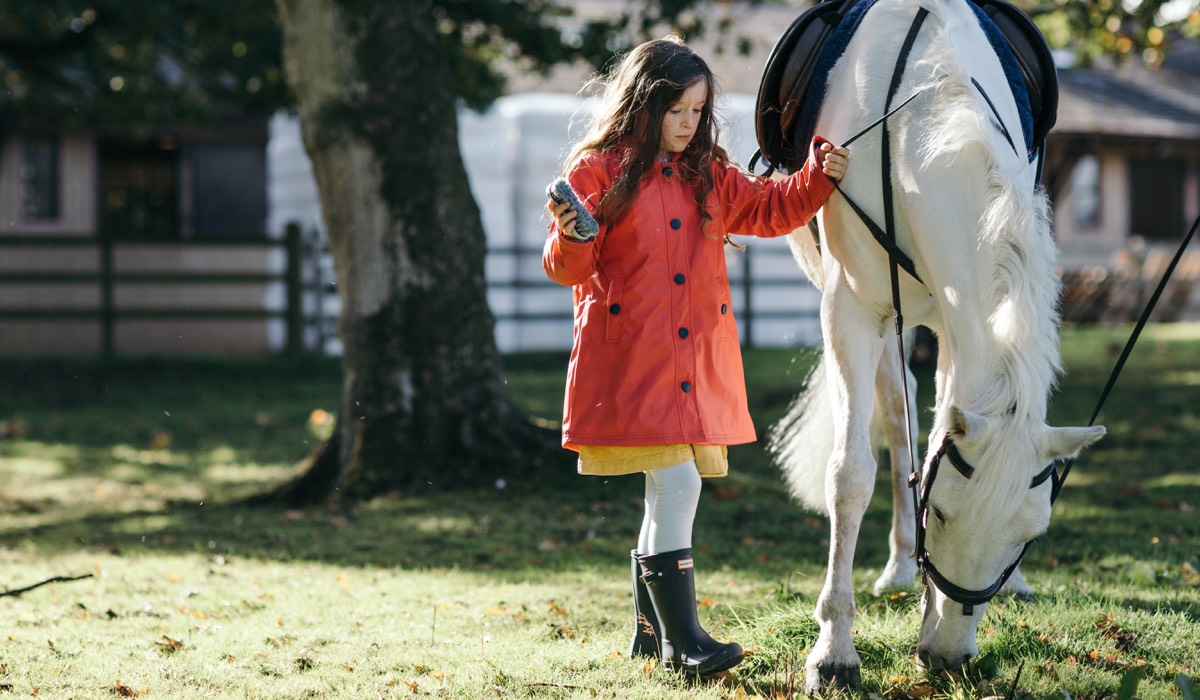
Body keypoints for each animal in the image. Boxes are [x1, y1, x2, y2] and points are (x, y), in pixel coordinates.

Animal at [764, 0, 1106, 690]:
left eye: (1029, 536)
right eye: (940, 514)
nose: (949, 658)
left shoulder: (957, 326)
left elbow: (933, 441)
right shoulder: (851, 313)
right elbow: (852, 475)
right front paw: (834, 652)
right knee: (894, 421)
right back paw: (896, 568)